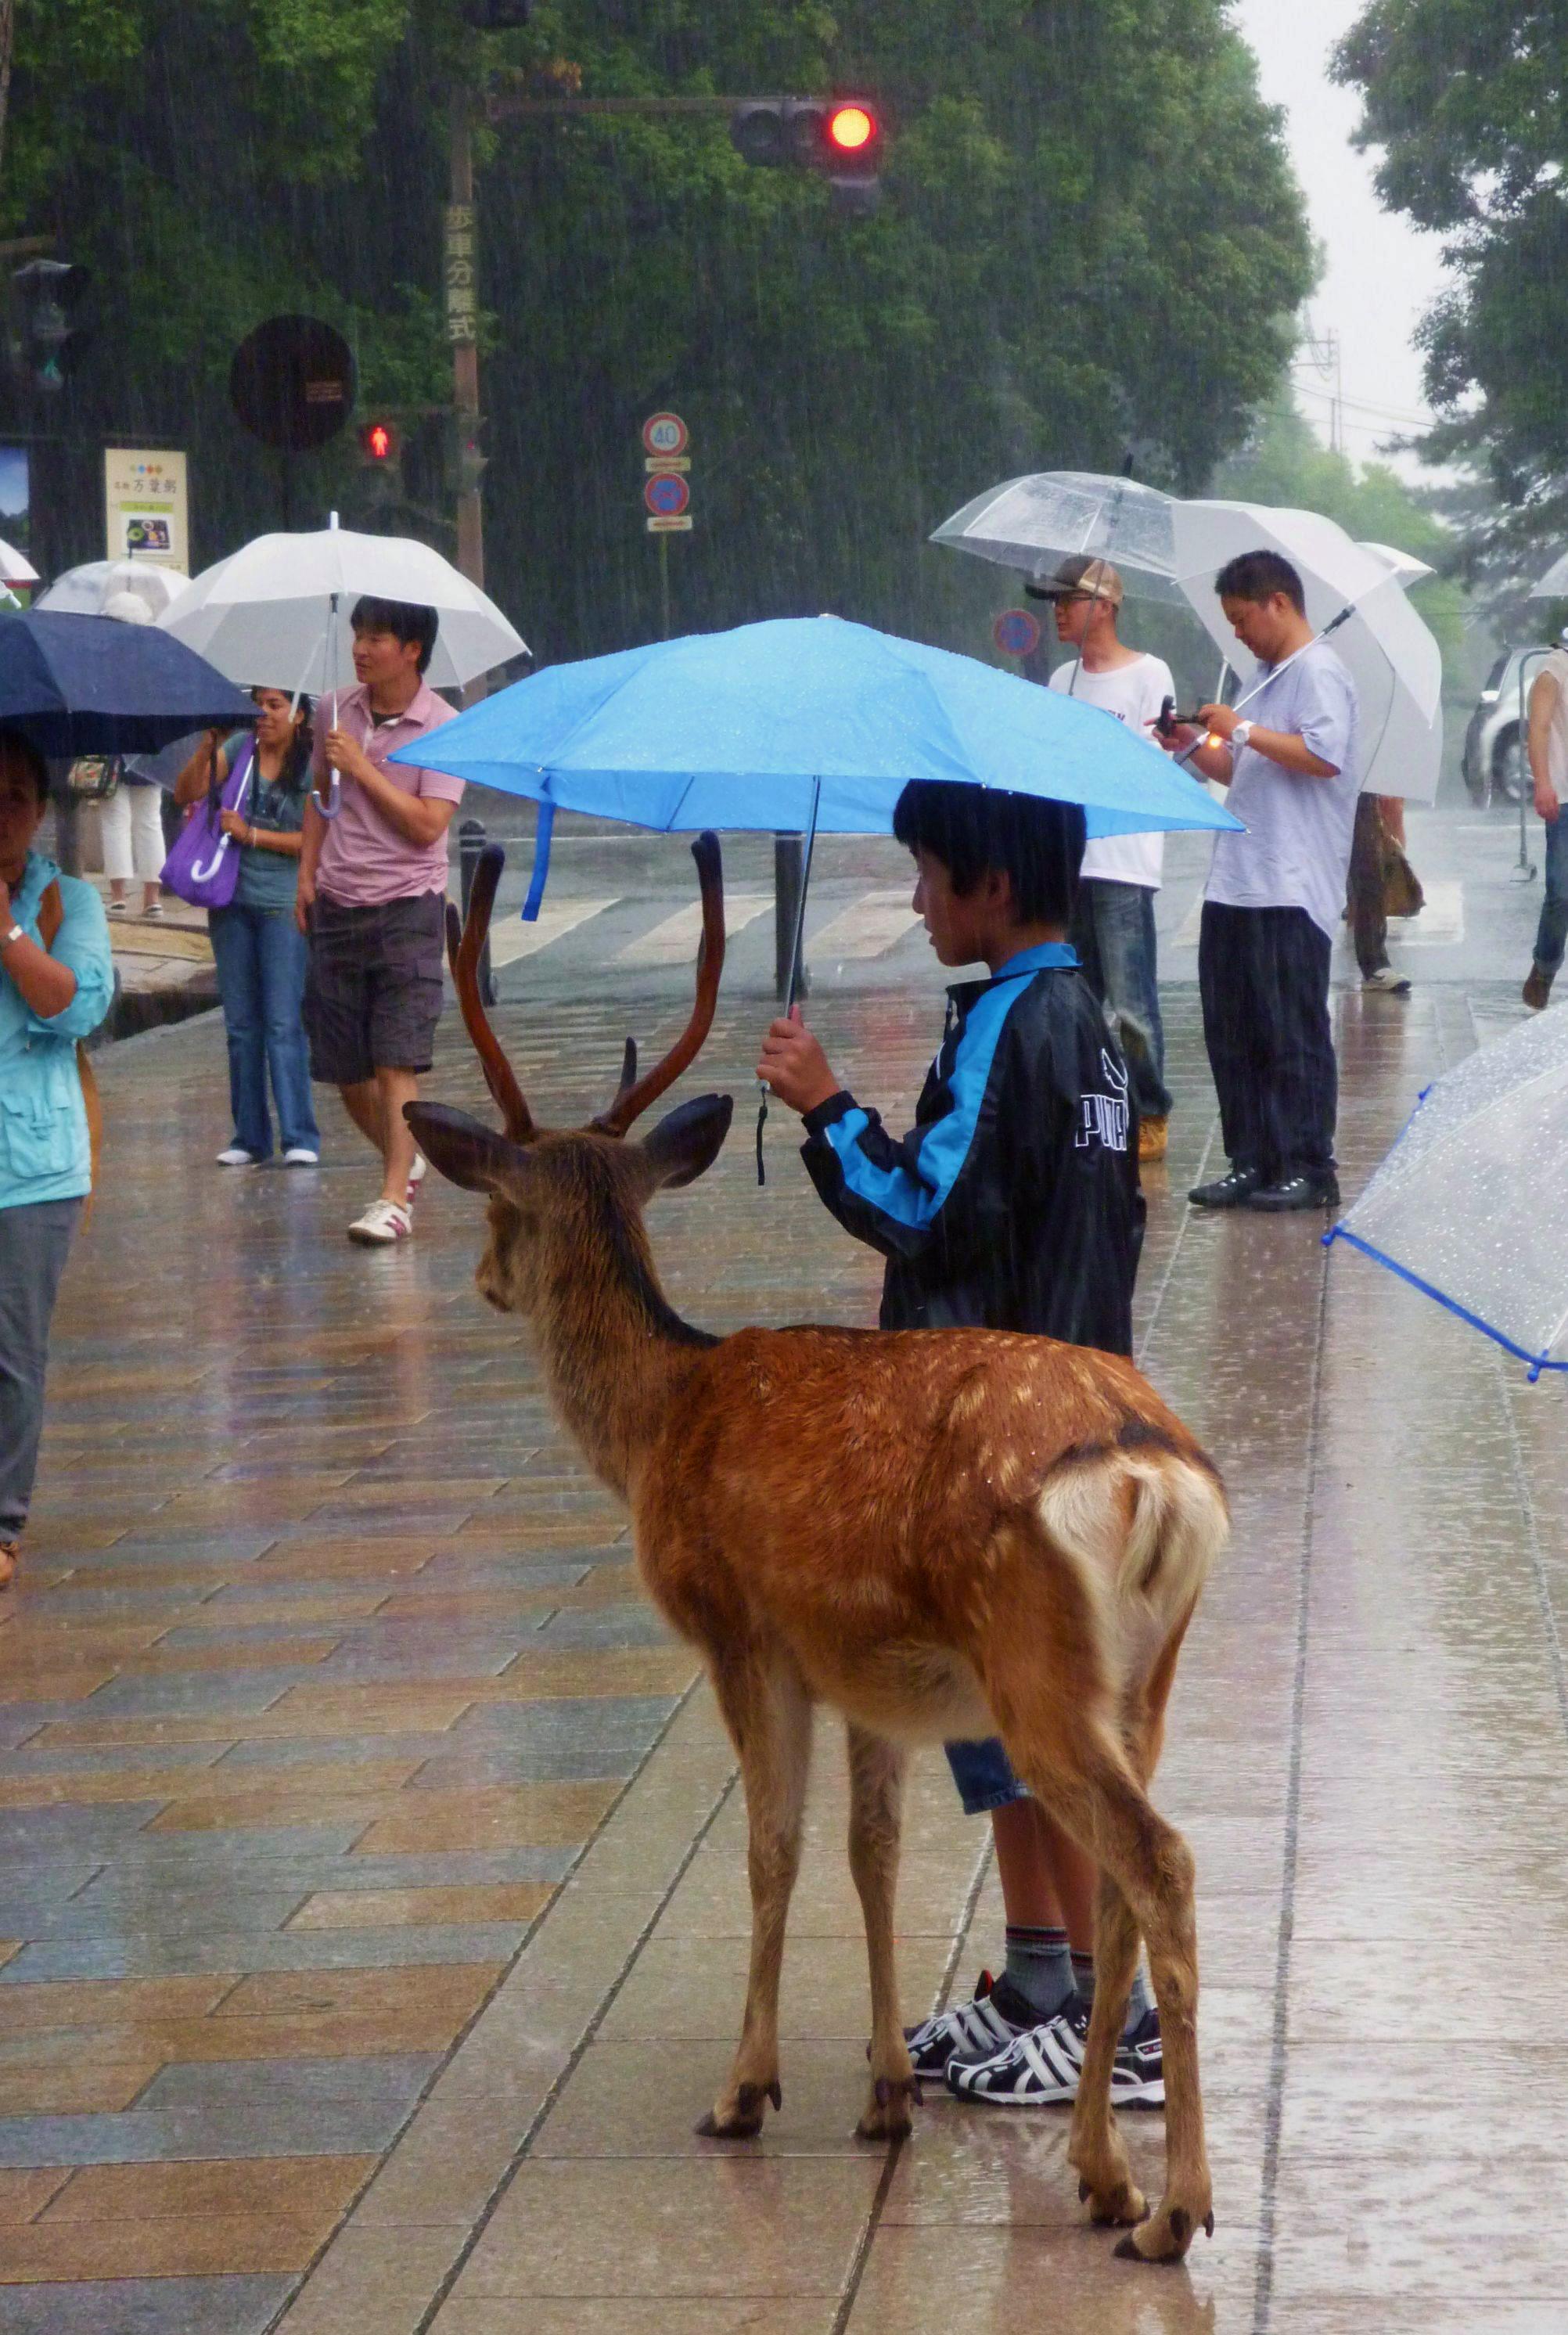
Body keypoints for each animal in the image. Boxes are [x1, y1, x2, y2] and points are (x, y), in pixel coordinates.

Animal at [410, 836, 1232, 2260]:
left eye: (498, 1213)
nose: (482, 1280)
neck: (659, 1420)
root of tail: (1150, 1469)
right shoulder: (869, 1671)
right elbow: (874, 1852)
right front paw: (885, 2092)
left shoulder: (743, 1629)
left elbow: (773, 1849)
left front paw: (745, 2089)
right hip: (1145, 1675)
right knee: (1122, 1882)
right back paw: (1097, 2171)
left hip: (1036, 1668)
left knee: (1160, 1863)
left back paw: (1169, 2206)